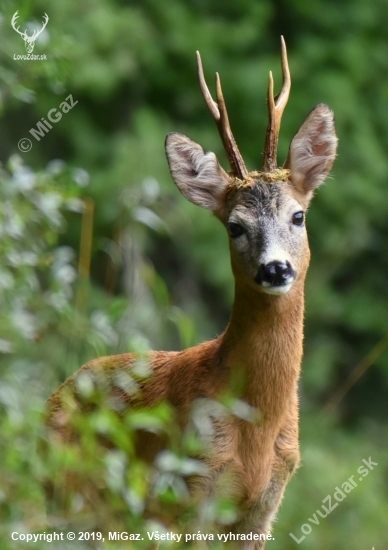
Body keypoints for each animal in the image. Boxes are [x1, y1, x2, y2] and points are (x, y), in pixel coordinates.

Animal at [44, 36, 336, 548]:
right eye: (235, 227)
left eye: (298, 215)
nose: (275, 268)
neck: (256, 429)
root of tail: (54, 398)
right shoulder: (187, 489)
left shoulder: (264, 507)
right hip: (72, 496)